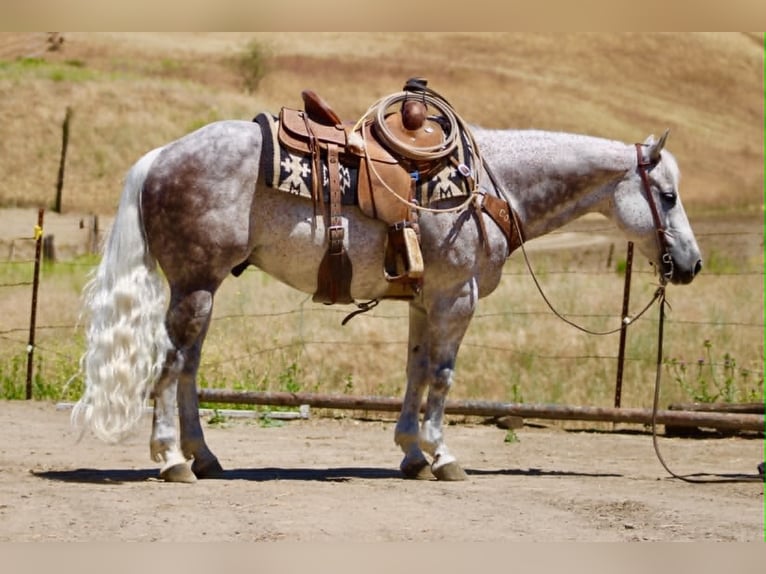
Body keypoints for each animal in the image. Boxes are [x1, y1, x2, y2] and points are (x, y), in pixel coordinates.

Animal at [71, 116, 702, 483]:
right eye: (669, 196)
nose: (692, 264)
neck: (488, 188)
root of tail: (160, 156)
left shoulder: (426, 301)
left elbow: (416, 371)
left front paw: (411, 453)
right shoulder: (457, 297)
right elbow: (443, 376)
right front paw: (443, 457)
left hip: (202, 288)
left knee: (188, 368)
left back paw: (203, 456)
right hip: (195, 285)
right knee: (171, 365)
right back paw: (172, 459)